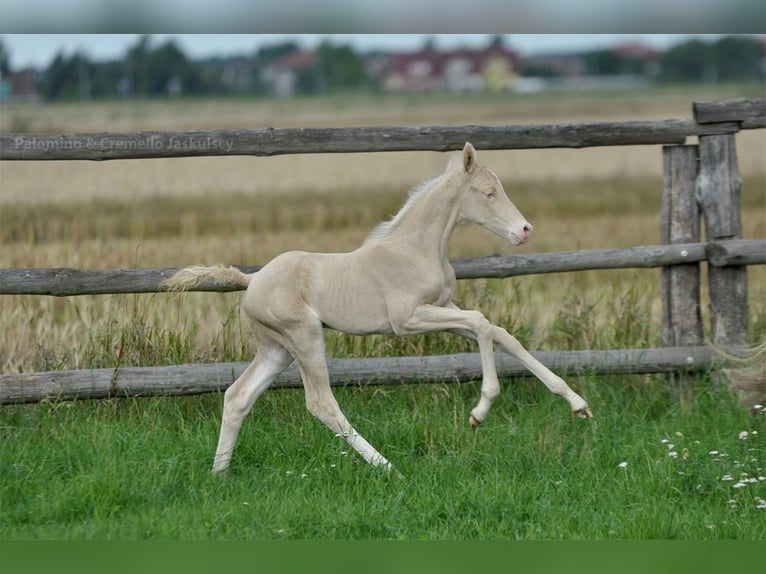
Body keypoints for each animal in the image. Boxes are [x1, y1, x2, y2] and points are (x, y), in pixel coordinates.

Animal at [163, 142, 593, 473]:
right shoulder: (408, 319)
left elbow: (499, 332)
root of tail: (251, 281)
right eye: (488, 193)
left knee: (238, 396)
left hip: (276, 349)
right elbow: (482, 323)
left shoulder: (443, 308)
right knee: (321, 403)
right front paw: (480, 410)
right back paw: (388, 468)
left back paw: (219, 474)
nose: (525, 231)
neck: (417, 249)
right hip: (304, 336)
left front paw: (579, 405)